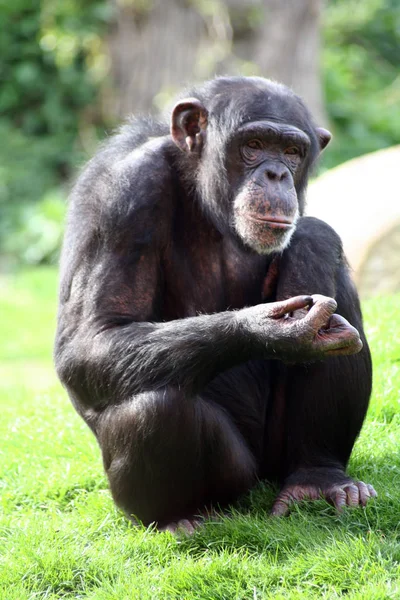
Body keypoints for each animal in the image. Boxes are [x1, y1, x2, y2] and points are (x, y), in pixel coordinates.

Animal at [54, 77, 376, 532]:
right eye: (254, 145)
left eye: (292, 152)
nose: (276, 173)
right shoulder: (121, 193)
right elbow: (93, 338)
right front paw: (270, 329)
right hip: (234, 473)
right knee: (154, 410)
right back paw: (182, 516)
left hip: (280, 458)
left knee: (323, 253)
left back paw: (318, 478)